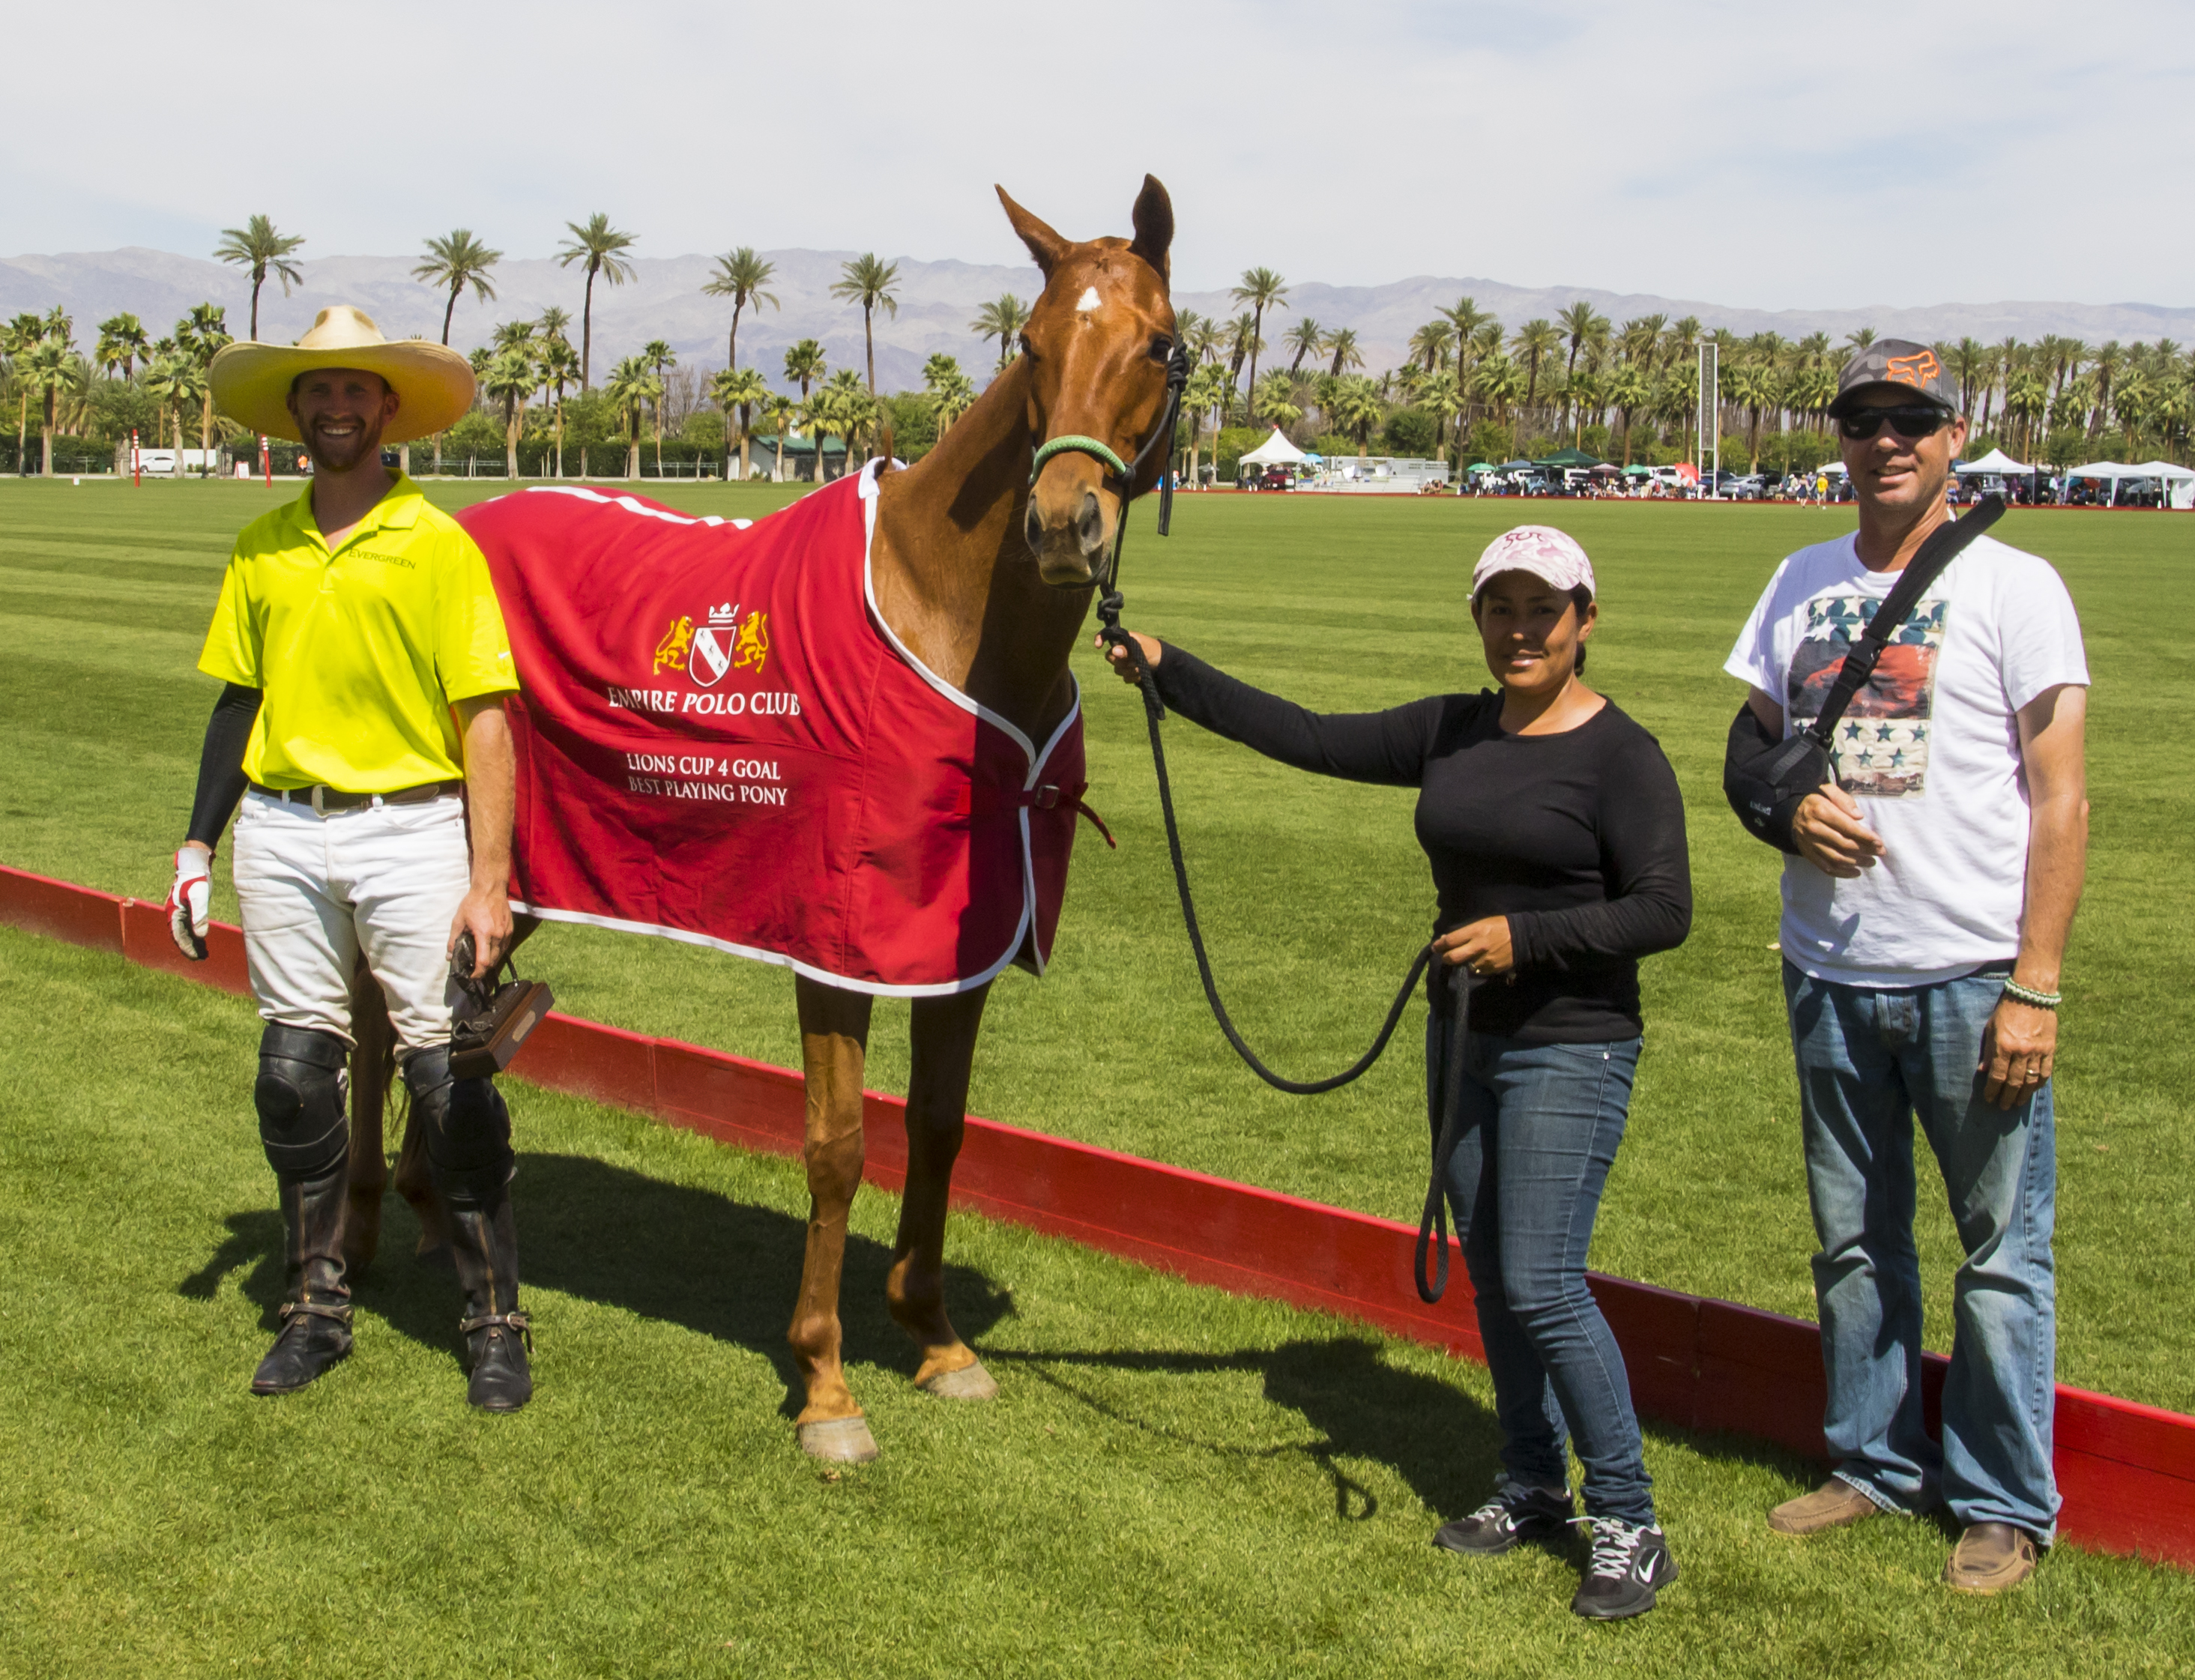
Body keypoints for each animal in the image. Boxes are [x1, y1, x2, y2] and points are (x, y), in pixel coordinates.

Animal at [339, 177, 1181, 1462]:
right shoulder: (834, 941)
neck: (941, 617)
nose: (1056, 525)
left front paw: (935, 1337)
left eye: (1158, 345)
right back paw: (366, 1228)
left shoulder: (959, 945)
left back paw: (437, 1213)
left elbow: (939, 1126)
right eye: (1031, 347)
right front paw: (826, 1383)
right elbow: (835, 1148)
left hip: (505, 880)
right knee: (376, 1025)